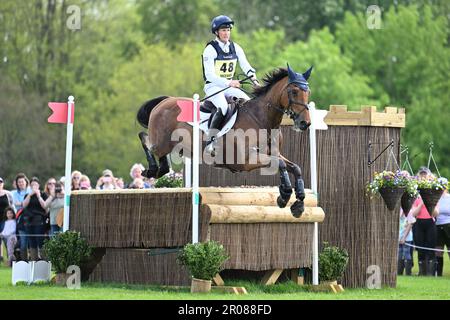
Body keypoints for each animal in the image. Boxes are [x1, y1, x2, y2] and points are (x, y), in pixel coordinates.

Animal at [136, 63, 312, 216]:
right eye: (294, 91)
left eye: (308, 92)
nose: (305, 123)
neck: (262, 120)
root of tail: (165, 101)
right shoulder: (246, 161)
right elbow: (280, 164)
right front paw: (284, 195)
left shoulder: (274, 153)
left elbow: (295, 167)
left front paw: (299, 203)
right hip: (161, 142)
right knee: (145, 139)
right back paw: (152, 169)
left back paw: (160, 169)